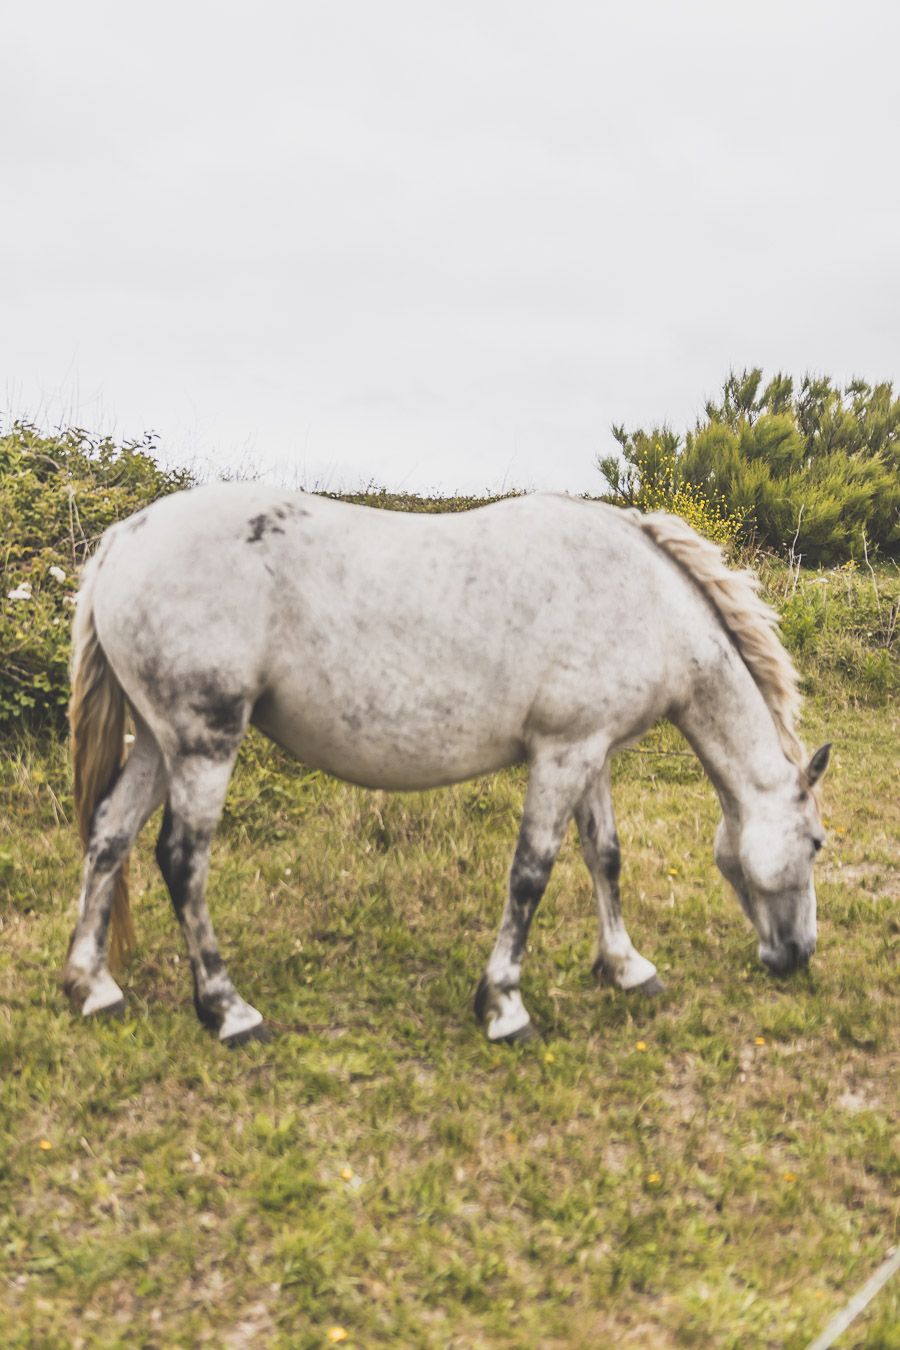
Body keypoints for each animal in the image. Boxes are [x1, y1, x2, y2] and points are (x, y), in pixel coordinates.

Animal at [65, 491, 831, 1047]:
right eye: (818, 844)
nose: (797, 954)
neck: (642, 597)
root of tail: (123, 539)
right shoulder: (561, 755)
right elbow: (531, 874)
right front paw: (504, 1006)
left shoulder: (591, 752)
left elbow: (605, 857)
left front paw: (626, 967)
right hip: (203, 744)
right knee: (180, 860)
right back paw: (229, 1012)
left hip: (157, 744)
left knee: (110, 836)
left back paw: (92, 987)